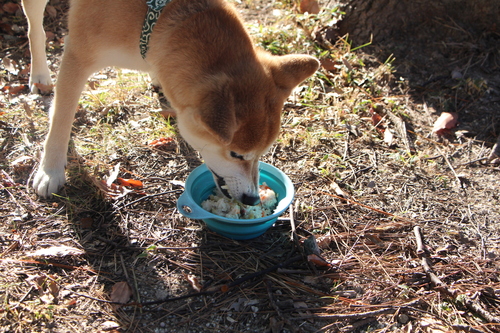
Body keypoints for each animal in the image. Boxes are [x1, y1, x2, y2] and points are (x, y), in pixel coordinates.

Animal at [23, 0, 318, 205]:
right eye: (236, 154)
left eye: (262, 153)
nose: (252, 199)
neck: (155, 17)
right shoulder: (77, 56)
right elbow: (61, 118)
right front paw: (50, 170)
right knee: (34, 30)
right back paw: (40, 75)